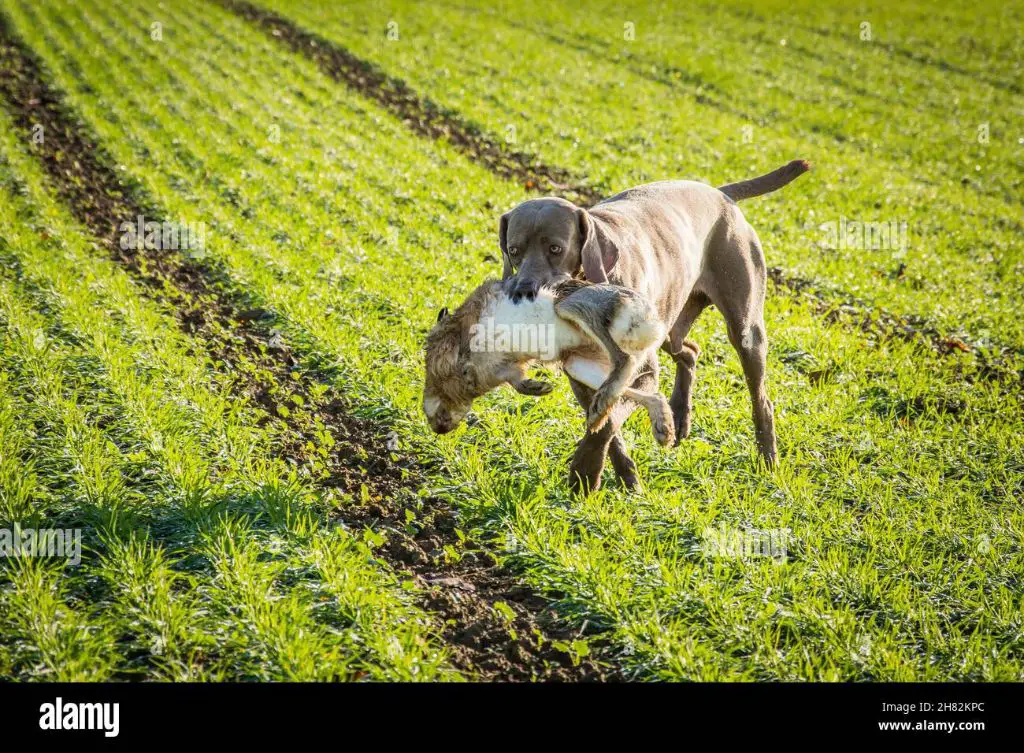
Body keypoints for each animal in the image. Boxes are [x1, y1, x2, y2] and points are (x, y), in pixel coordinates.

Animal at [499, 158, 811, 495]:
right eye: (513, 251)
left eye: (556, 249)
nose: (523, 291)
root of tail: (720, 193)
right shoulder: (580, 378)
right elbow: (607, 423)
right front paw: (627, 479)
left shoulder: (642, 371)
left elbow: (607, 421)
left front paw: (585, 471)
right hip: (668, 323)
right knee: (689, 350)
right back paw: (680, 415)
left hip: (744, 328)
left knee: (761, 399)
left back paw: (768, 460)